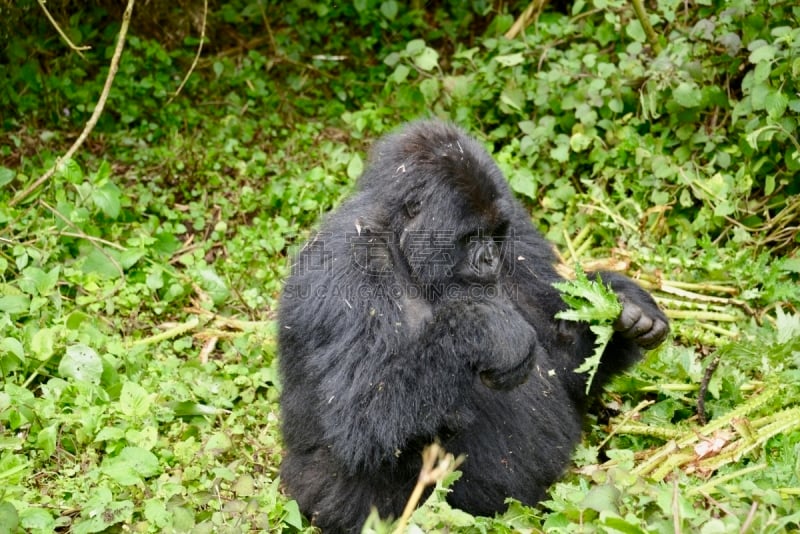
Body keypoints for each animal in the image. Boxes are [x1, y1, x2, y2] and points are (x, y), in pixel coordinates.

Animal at [276, 119, 668, 532]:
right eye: (470, 237)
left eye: (495, 233)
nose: (490, 259)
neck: (401, 246)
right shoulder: (345, 269)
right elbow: (359, 419)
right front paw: (489, 335)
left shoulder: (516, 227)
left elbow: (565, 365)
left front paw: (624, 307)